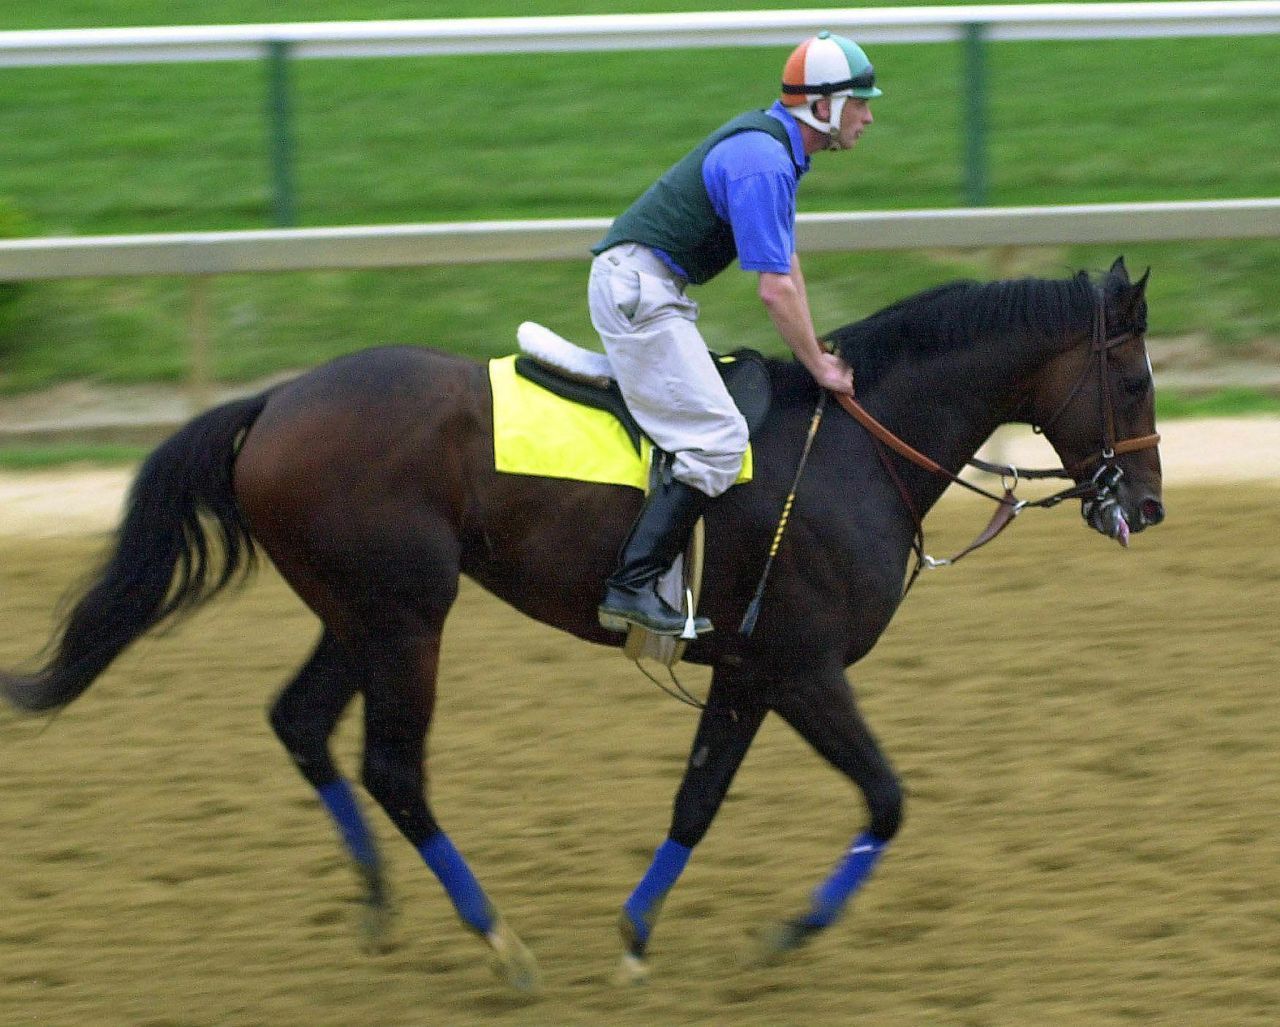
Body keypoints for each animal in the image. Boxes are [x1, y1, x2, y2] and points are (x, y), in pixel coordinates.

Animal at [0, 253, 1167, 983]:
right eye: (1133, 379)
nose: (1146, 507)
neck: (851, 447)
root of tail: (275, 401)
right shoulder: (801, 666)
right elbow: (885, 798)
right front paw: (788, 933)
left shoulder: (746, 671)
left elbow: (697, 800)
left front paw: (639, 934)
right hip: (407, 617)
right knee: (392, 766)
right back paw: (497, 941)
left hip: (360, 612)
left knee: (299, 723)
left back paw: (379, 902)